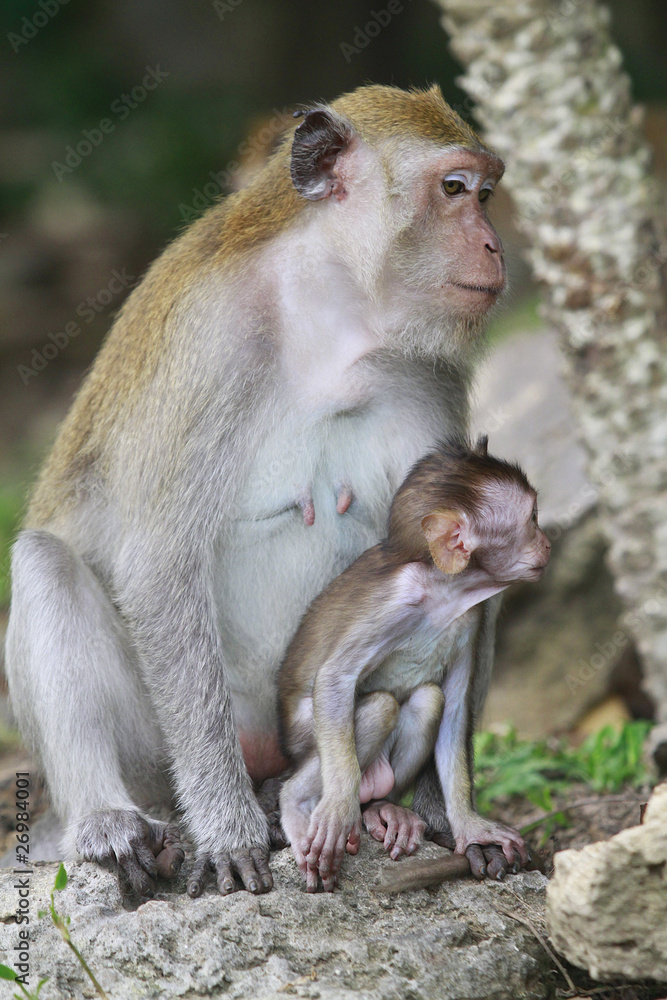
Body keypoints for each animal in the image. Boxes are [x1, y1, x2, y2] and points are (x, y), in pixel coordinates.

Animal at [5, 84, 508, 898]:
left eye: (486, 193)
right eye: (455, 189)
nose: (494, 245)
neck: (331, 318)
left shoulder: (427, 372)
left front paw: (446, 812)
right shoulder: (209, 344)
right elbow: (159, 566)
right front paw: (226, 829)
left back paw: (376, 808)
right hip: (156, 755)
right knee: (46, 562)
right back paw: (112, 820)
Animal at [278, 439, 551, 892]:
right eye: (531, 518)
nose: (547, 542)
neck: (446, 588)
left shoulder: (470, 620)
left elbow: (454, 710)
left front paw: (470, 825)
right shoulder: (397, 602)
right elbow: (334, 678)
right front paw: (336, 808)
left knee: (428, 700)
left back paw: (380, 807)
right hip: (301, 737)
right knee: (379, 706)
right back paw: (299, 801)